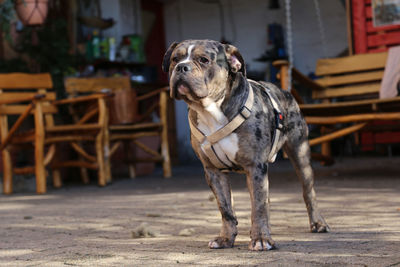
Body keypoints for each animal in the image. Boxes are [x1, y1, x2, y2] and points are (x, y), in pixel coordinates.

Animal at [161, 39, 330, 251]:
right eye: (175, 59)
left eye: (204, 60)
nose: (182, 67)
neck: (211, 111)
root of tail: (286, 92)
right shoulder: (213, 171)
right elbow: (226, 209)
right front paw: (226, 238)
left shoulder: (255, 166)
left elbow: (257, 206)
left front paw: (261, 239)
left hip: (300, 154)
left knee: (308, 191)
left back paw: (318, 223)